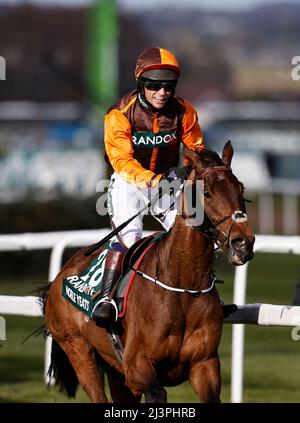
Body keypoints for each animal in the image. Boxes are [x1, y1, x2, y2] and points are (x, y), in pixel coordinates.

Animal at [44, 141, 255, 402]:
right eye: (206, 191)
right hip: (79, 350)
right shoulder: (136, 366)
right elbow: (156, 392)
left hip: (115, 370)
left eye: (241, 188)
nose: (243, 243)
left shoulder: (204, 364)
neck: (183, 287)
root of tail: (60, 275)